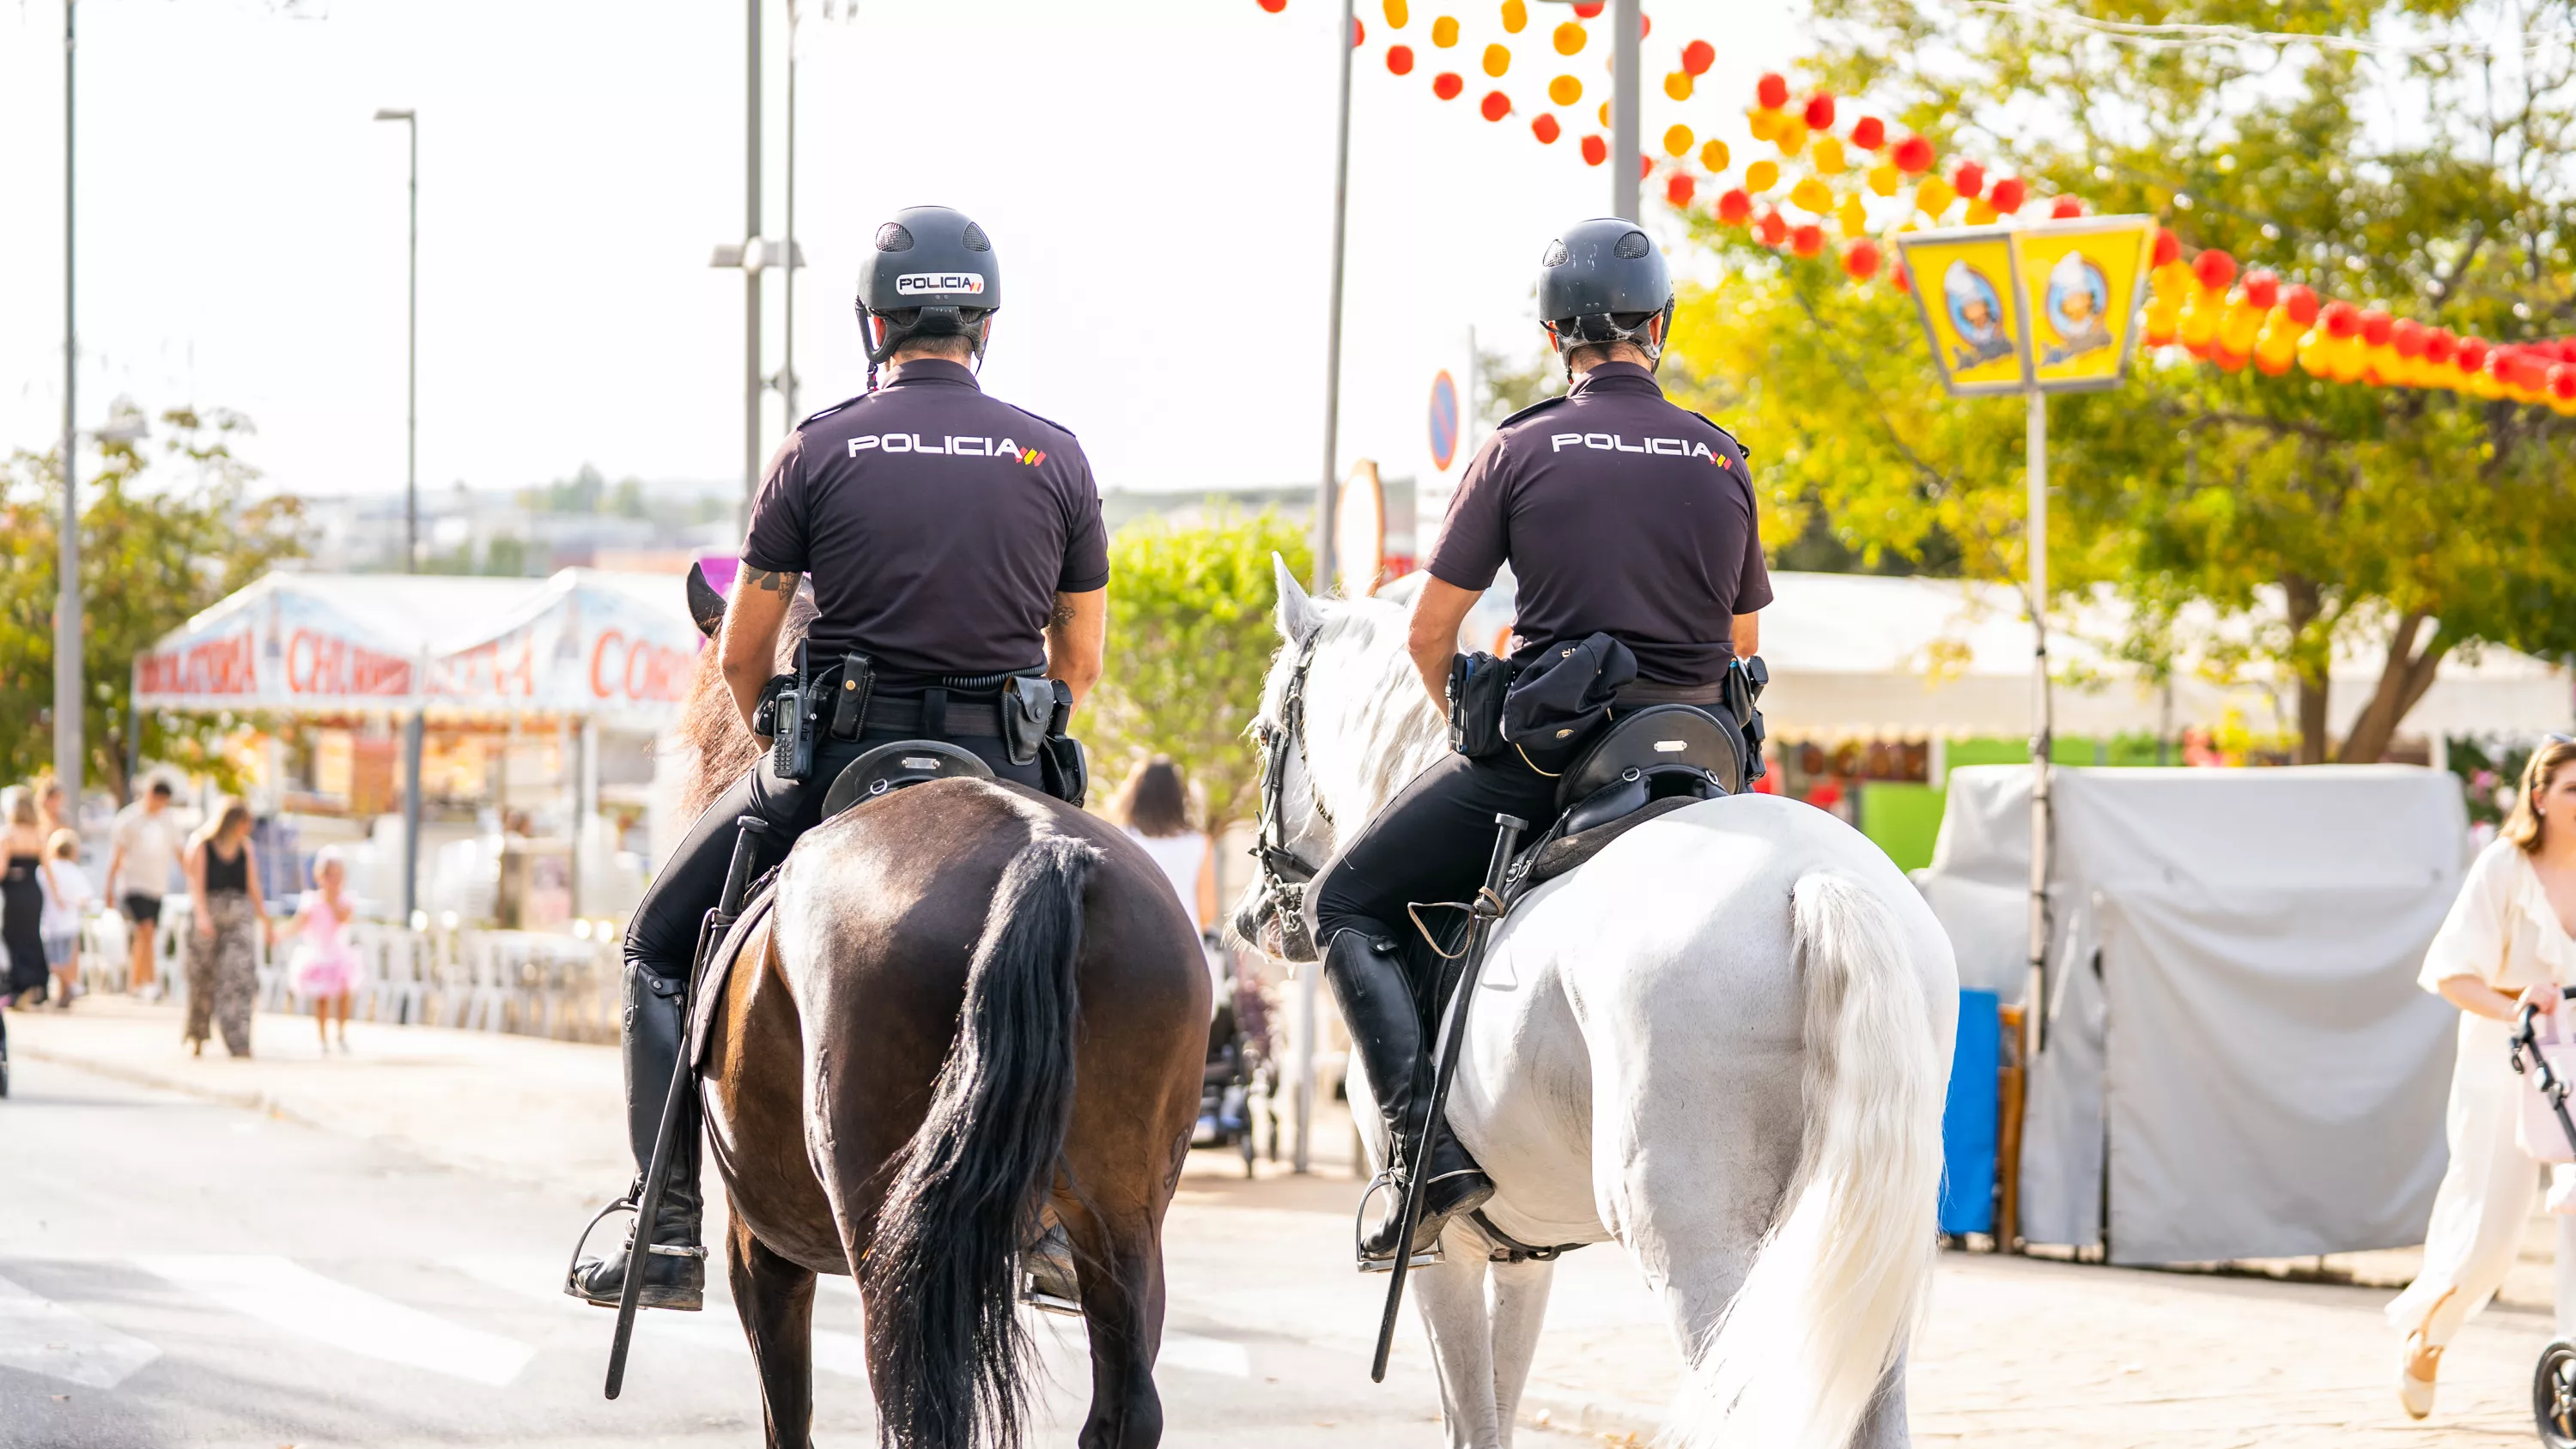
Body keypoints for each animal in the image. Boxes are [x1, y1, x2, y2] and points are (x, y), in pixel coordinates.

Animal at [675, 607, 1216, 1441]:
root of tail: (1040, 850)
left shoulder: (759, 1243)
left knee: (920, 1411)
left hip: (891, 1249)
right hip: (1124, 1223)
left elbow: (786, 1412)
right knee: (1127, 1405)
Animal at [1242, 563, 1947, 1449]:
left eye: (1264, 733)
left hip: (1698, 1252)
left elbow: (1472, 1421)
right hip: (1857, 1259)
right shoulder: (1522, 1250)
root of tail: (1818, 879)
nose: (1254, 919)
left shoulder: (1446, 1254)